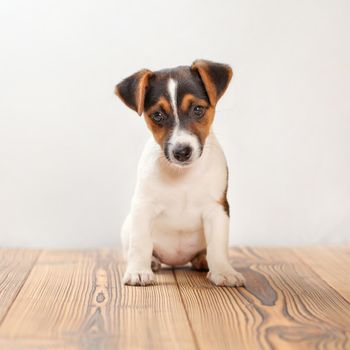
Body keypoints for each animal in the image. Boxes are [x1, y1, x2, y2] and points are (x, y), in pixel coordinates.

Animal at [115, 59, 246, 288]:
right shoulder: (143, 207)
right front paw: (139, 271)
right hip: (127, 227)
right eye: (157, 115)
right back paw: (152, 262)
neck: (182, 175)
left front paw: (223, 271)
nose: (182, 151)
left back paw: (203, 260)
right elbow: (140, 243)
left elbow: (218, 245)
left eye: (198, 109)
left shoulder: (217, 208)